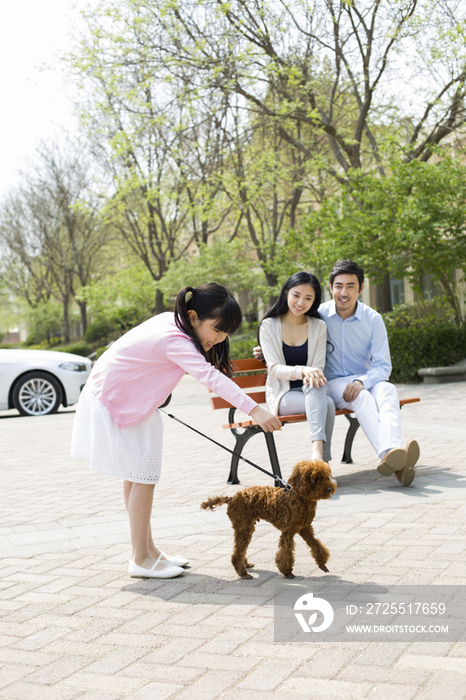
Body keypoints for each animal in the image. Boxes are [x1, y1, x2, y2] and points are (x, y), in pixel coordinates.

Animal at [200, 460, 334, 580]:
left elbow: (316, 544)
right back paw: (243, 572)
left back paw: (245, 564)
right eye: (315, 479)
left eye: (326, 476)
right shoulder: (288, 531)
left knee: (240, 549)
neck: (300, 498)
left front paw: (322, 564)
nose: (329, 489)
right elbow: (286, 551)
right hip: (244, 527)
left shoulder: (305, 528)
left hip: (246, 527)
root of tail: (231, 498)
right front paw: (287, 572)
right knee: (237, 552)